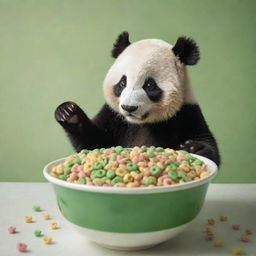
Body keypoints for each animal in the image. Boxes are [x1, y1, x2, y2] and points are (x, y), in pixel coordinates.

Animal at [55, 31, 220, 166]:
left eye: (149, 85)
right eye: (123, 82)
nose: (129, 108)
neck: (141, 123)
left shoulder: (186, 112)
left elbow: (208, 145)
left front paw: (194, 147)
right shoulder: (113, 115)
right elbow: (95, 142)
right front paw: (68, 113)